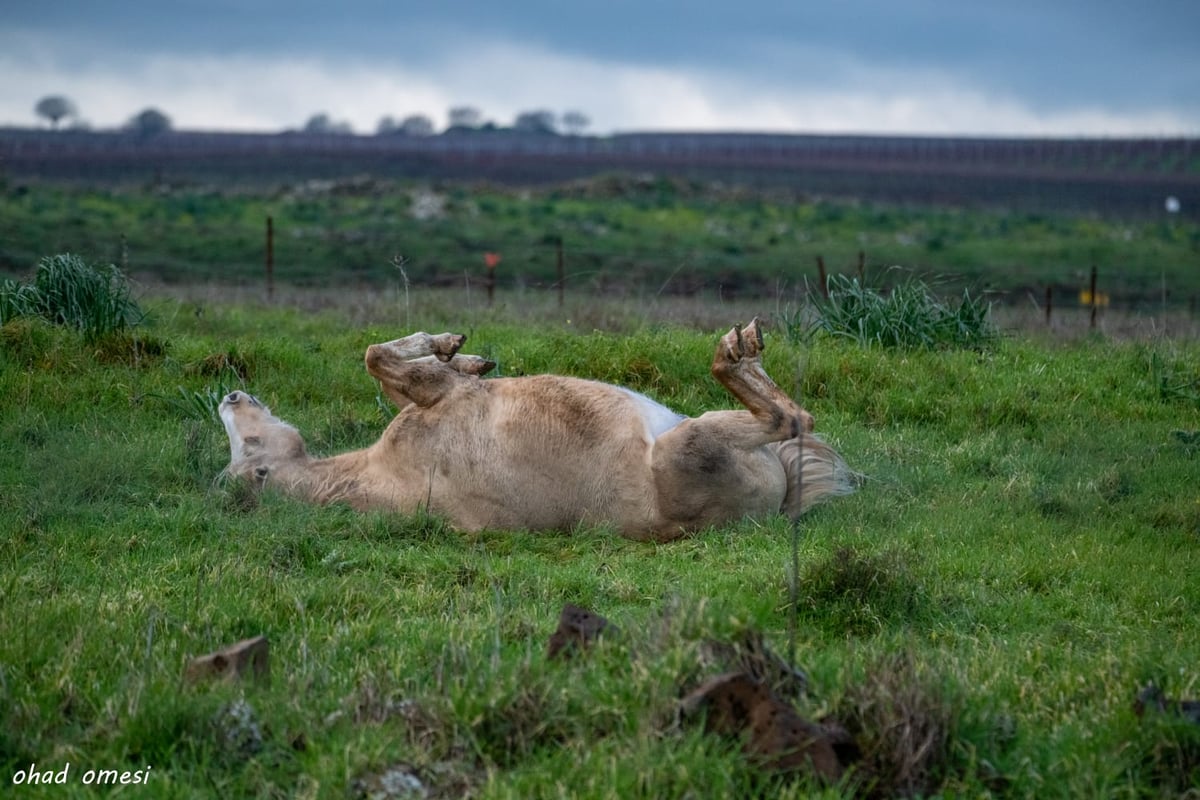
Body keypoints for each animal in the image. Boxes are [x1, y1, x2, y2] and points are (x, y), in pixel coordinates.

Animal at [216, 321, 854, 544]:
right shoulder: (437, 398)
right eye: (250, 449)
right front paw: (444, 347)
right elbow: (381, 357)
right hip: (694, 441)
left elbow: (387, 364)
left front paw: (460, 352)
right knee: (791, 420)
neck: (378, 475)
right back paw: (736, 352)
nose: (230, 397)